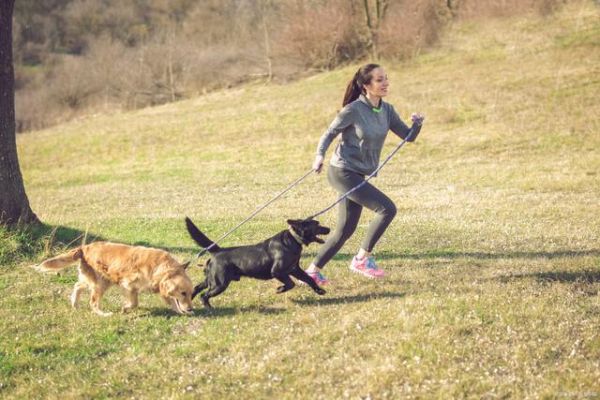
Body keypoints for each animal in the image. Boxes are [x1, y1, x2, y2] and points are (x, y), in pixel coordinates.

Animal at [33, 242, 194, 316]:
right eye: (183, 293)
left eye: (190, 293)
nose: (191, 308)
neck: (159, 267)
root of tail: (85, 247)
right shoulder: (128, 285)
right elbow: (134, 303)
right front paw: (125, 308)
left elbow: (172, 301)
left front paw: (181, 312)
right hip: (100, 283)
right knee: (93, 303)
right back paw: (104, 314)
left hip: (98, 280)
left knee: (77, 286)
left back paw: (75, 304)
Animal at [185, 217, 330, 308]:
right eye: (317, 224)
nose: (328, 228)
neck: (293, 239)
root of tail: (218, 251)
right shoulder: (277, 271)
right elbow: (291, 283)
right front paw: (280, 289)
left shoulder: (294, 269)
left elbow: (308, 279)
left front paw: (319, 290)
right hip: (219, 283)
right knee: (204, 295)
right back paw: (209, 308)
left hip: (212, 280)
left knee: (197, 288)